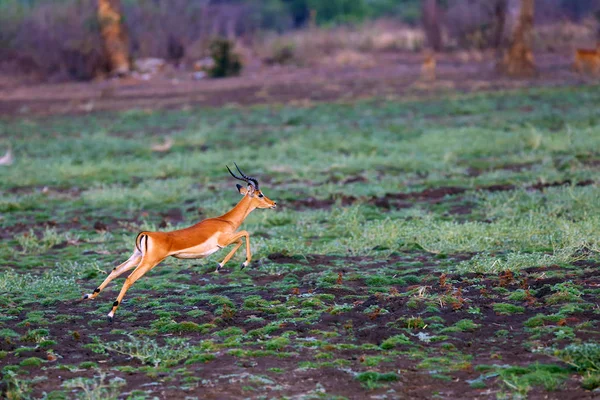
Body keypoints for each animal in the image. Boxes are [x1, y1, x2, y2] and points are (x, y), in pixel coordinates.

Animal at [83, 164, 278, 320]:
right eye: (260, 194)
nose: (274, 203)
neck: (225, 220)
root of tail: (146, 233)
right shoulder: (224, 241)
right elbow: (245, 234)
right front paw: (235, 265)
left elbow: (241, 240)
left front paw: (221, 266)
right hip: (148, 262)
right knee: (129, 278)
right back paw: (110, 314)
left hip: (137, 257)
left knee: (115, 270)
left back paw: (89, 296)